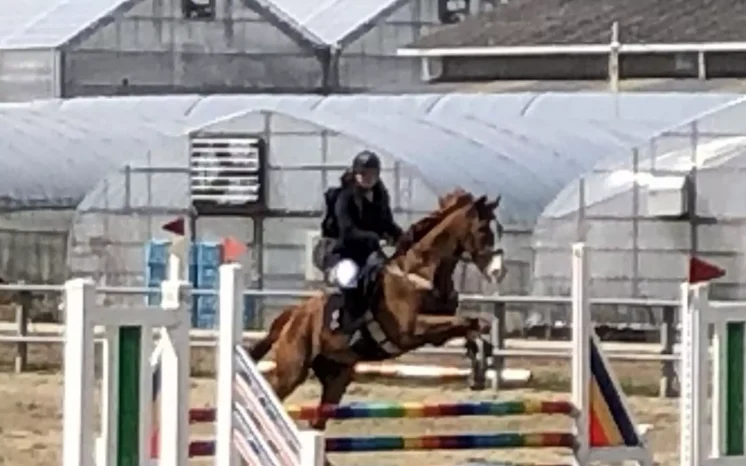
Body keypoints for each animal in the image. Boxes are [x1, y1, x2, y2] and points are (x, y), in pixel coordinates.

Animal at [248, 189, 500, 426]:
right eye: (482, 230)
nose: (497, 271)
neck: (421, 271)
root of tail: (293, 315)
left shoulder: (437, 332)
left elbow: (475, 325)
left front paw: (478, 369)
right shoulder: (412, 330)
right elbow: (468, 322)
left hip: (336, 375)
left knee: (317, 419)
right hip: (292, 370)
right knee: (273, 391)